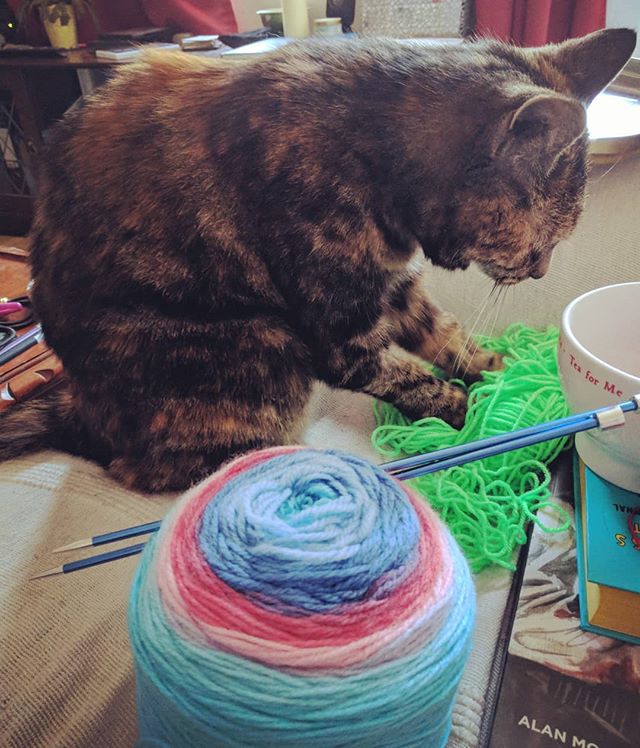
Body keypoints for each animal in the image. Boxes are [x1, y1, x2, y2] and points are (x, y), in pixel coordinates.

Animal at [0, 27, 632, 490]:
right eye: (544, 242)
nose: (542, 270)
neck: (373, 144)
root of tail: (79, 414)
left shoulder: (394, 284)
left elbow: (444, 333)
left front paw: (499, 372)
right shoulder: (343, 336)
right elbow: (413, 379)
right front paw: (469, 416)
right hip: (266, 348)